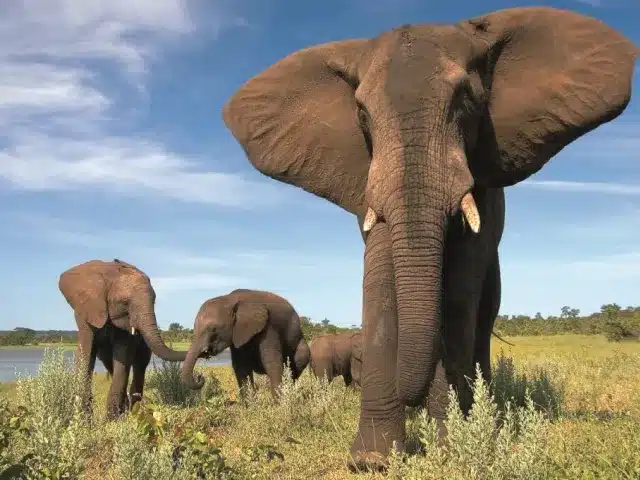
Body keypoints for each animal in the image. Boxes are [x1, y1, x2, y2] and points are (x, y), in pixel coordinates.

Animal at [58, 259, 187, 419]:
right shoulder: (86, 311)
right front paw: (84, 419)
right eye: (125, 302)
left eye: (154, 302)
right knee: (110, 364)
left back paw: (134, 411)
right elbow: (85, 354)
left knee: (139, 366)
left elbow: (123, 354)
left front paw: (112, 420)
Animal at [180, 289, 311, 400]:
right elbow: (241, 367)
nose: (200, 376)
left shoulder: (269, 327)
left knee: (297, 365)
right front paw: (249, 406)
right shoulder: (238, 333)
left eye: (213, 329)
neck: (230, 299)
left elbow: (272, 363)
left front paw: (279, 404)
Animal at [221, 6, 637, 471]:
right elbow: (380, 281)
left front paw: (451, 445)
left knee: (481, 317)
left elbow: (457, 290)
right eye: (361, 113)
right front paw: (372, 459)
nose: (412, 398)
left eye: (467, 100)